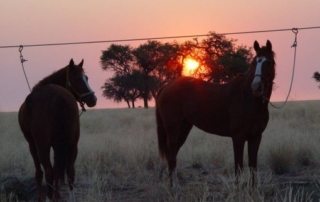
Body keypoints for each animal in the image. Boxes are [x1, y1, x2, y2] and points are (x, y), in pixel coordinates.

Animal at [18, 58, 96, 200]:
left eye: (86, 77)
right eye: (78, 78)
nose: (93, 99)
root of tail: (60, 98)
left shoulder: (32, 144)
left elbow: (40, 172)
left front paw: (43, 197)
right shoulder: (59, 144)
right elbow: (59, 169)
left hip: (43, 144)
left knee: (49, 170)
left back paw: (50, 196)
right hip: (72, 143)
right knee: (68, 170)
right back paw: (68, 195)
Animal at [155, 39, 276, 185]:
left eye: (268, 62)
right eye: (254, 63)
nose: (256, 87)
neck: (249, 99)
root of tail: (166, 87)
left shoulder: (256, 137)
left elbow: (253, 166)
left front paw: (253, 189)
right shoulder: (238, 137)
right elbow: (238, 166)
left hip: (184, 128)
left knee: (172, 154)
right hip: (173, 129)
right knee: (171, 154)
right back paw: (174, 186)